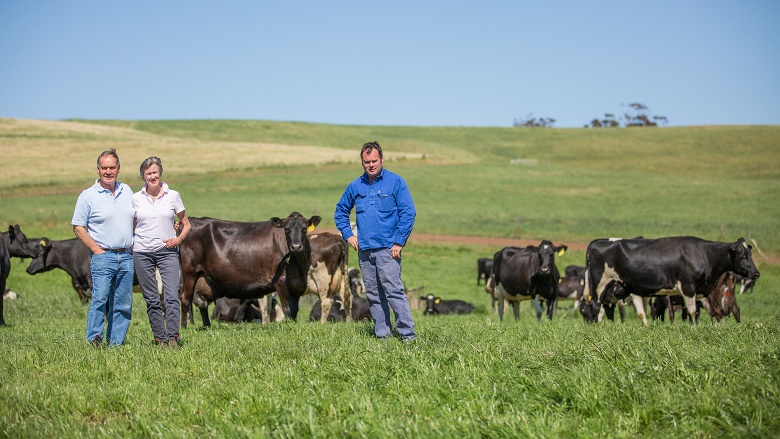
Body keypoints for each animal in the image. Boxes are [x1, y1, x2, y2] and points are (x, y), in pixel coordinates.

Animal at [180, 213, 320, 326]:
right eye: (286, 230)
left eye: (304, 229)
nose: (296, 246)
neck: (298, 264)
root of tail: (193, 219)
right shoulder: (280, 281)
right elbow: (287, 309)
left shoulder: (297, 286)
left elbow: (294, 310)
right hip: (189, 271)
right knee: (185, 298)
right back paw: (184, 327)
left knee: (202, 304)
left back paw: (207, 326)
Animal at [588, 237, 760, 324]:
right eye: (742, 255)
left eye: (750, 254)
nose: (756, 273)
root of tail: (598, 241)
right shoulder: (688, 287)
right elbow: (692, 312)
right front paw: (694, 329)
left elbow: (694, 313)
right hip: (599, 284)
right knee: (596, 307)